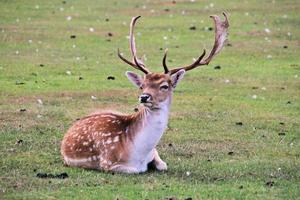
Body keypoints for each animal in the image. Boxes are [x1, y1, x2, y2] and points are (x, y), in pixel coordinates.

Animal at [61, 13, 230, 174]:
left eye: (164, 86)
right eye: (142, 86)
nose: (144, 97)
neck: (139, 153)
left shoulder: (155, 152)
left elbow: (163, 165)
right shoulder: (107, 162)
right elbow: (137, 170)